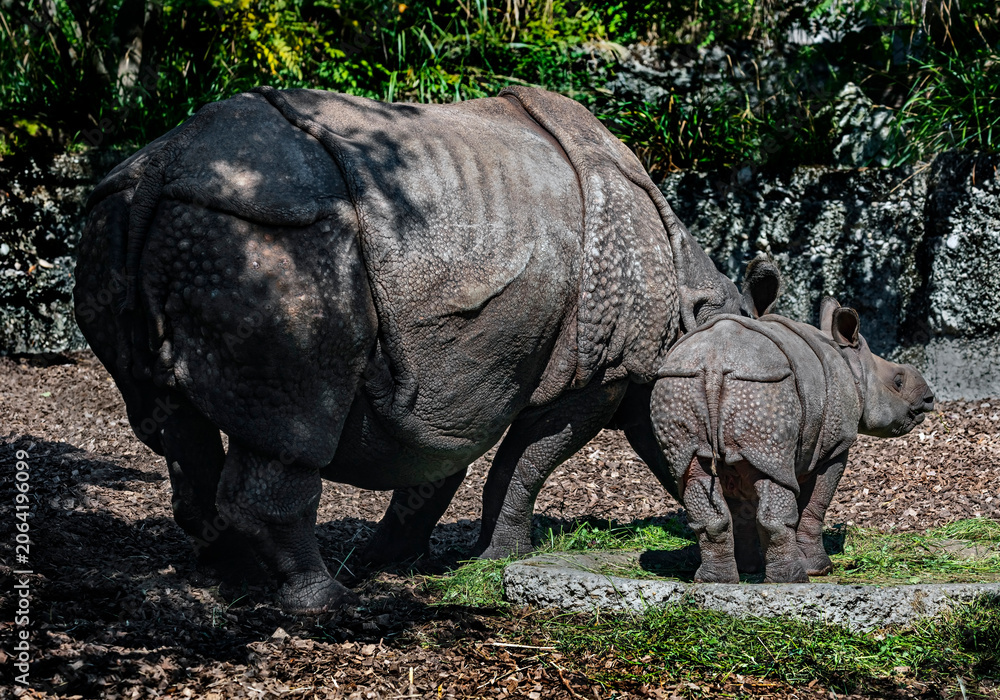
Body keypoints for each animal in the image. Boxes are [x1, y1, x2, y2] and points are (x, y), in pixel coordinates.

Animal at [74, 85, 781, 612]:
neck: (694, 309)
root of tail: (160, 168)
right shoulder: (596, 374)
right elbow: (528, 460)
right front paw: (498, 558)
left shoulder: (454, 375)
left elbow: (437, 468)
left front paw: (388, 561)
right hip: (272, 240)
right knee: (293, 420)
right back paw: (321, 603)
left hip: (125, 218)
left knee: (170, 420)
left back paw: (231, 579)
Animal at [651, 298, 934, 583]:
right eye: (898, 381)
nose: (929, 399)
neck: (854, 368)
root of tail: (714, 363)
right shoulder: (834, 447)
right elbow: (814, 506)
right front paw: (820, 569)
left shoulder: (751, 453)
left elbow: (742, 509)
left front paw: (749, 568)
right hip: (766, 389)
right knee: (775, 481)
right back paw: (793, 580)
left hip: (682, 384)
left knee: (692, 473)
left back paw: (713, 581)